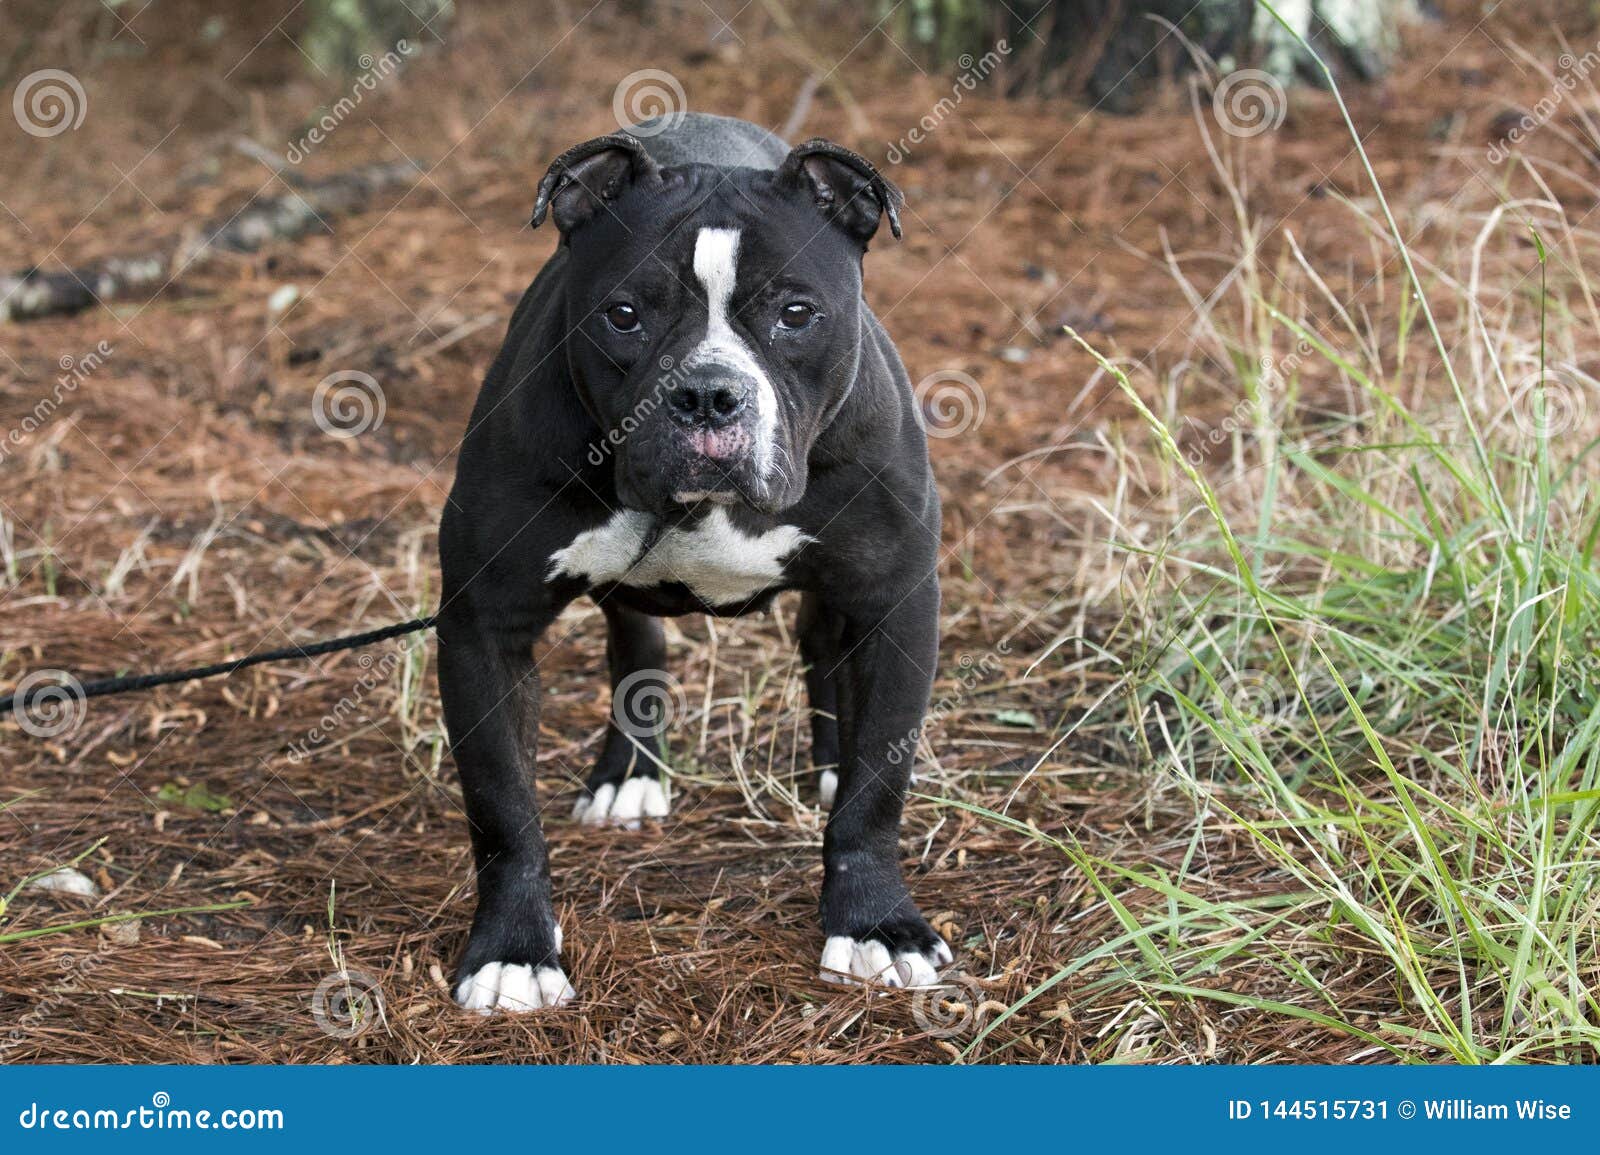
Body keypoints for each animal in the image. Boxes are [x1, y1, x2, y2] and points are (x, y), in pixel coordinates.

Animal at [435, 112, 947, 1004]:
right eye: (623, 313)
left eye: (796, 312)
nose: (708, 393)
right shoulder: (480, 624)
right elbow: (501, 806)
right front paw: (513, 950)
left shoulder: (898, 598)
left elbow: (879, 788)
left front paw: (876, 923)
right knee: (637, 641)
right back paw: (630, 772)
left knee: (821, 652)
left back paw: (828, 766)